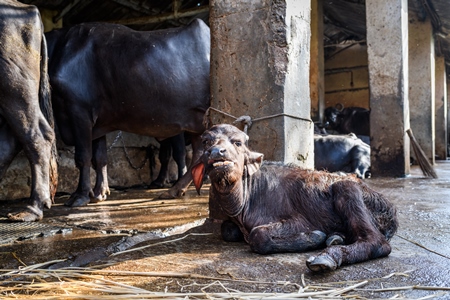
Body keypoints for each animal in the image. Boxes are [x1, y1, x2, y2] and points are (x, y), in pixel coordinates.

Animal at [48, 18, 211, 206]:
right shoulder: (98, 123)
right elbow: (100, 158)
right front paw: (99, 192)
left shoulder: (79, 111)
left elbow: (83, 156)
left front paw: (80, 195)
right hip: (196, 122)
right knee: (200, 152)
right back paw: (176, 190)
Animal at [192, 124, 398, 272]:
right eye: (206, 141)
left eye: (237, 142)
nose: (216, 151)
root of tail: (390, 210)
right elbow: (227, 229)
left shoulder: (299, 221)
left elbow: (258, 235)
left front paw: (314, 237)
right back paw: (336, 238)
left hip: (347, 188)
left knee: (378, 243)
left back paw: (327, 256)